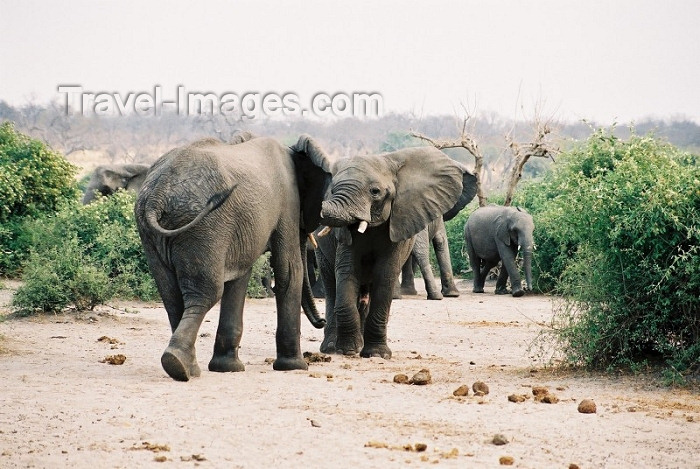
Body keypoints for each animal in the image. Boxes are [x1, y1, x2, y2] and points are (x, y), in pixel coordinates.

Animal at [135, 133, 330, 380]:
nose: (322, 321)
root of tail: (156, 197)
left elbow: (240, 276)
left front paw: (227, 368)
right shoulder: (288, 203)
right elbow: (289, 270)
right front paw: (295, 366)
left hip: (154, 232)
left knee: (172, 295)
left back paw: (184, 366)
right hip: (204, 228)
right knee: (206, 292)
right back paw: (180, 365)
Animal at [300, 136, 470, 358]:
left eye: (375, 192)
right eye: (333, 191)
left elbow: (385, 274)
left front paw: (376, 354)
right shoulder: (344, 236)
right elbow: (347, 272)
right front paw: (347, 351)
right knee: (332, 287)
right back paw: (331, 348)